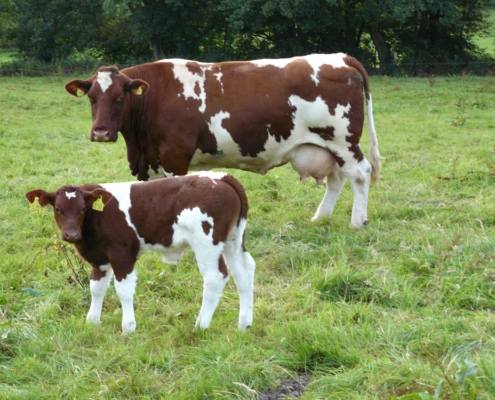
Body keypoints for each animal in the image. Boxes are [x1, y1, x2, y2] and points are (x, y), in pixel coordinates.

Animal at [25, 172, 256, 334]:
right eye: (58, 209)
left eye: (82, 209)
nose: (71, 234)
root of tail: (222, 177)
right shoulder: (100, 258)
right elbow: (96, 288)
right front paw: (92, 322)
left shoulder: (122, 253)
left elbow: (123, 291)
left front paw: (128, 327)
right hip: (234, 240)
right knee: (244, 273)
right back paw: (244, 325)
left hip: (206, 243)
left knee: (215, 277)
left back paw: (200, 326)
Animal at [66, 53, 382, 228]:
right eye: (92, 98)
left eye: (119, 98)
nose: (101, 132)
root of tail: (340, 58)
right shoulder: (151, 160)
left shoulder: (174, 156)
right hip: (329, 146)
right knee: (337, 178)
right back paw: (321, 218)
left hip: (342, 141)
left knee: (360, 174)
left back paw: (357, 221)